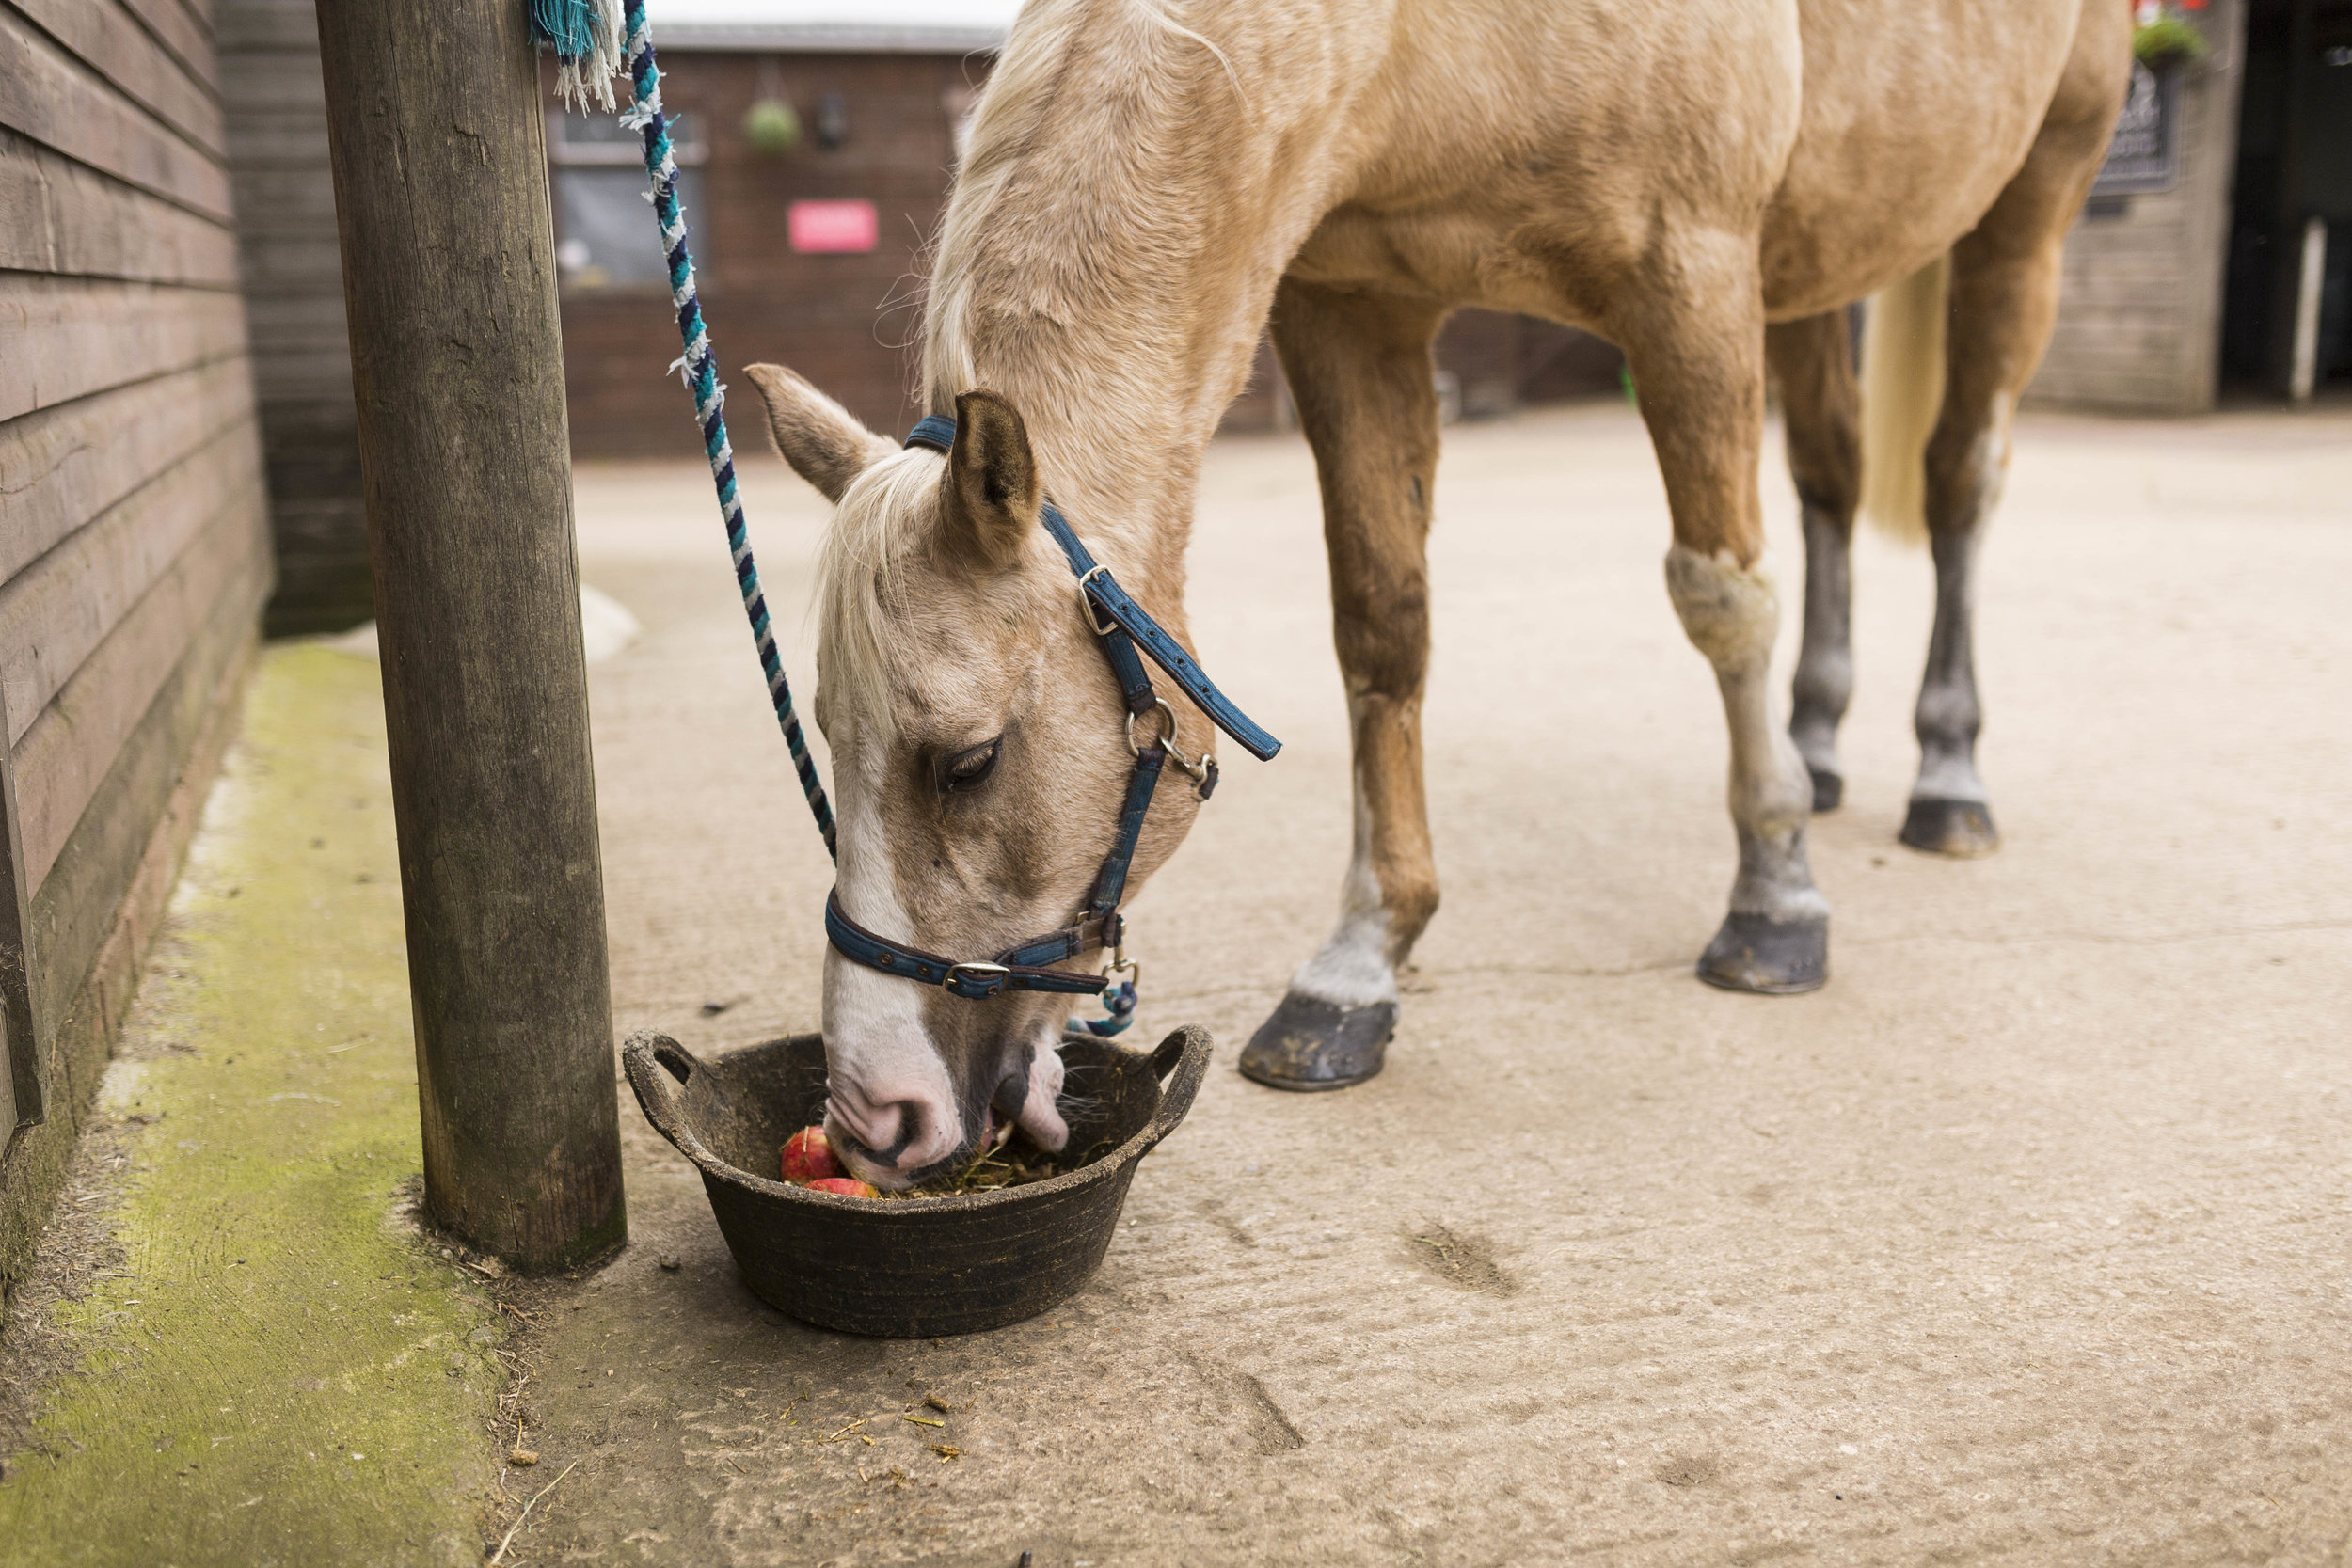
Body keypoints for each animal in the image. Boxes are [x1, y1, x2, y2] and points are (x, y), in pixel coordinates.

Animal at [741, 0, 2132, 1189]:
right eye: (824, 734)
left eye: (969, 760)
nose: (874, 1117)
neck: (1420, 40)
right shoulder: (1356, 302)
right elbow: (1382, 624)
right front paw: (1361, 960)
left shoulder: (1691, 277)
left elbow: (1722, 594)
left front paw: (1775, 896)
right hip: (1815, 267)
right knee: (1833, 476)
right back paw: (1824, 746)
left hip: (2031, 206)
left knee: (1959, 483)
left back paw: (1947, 774)